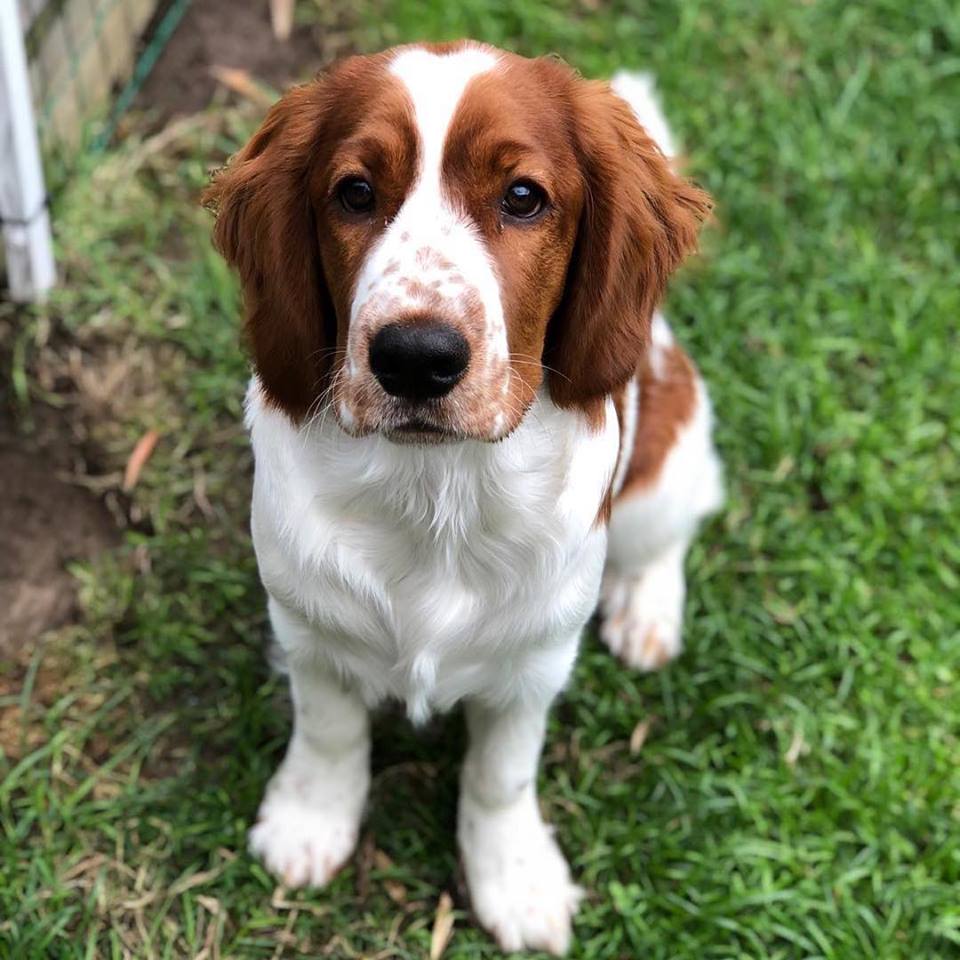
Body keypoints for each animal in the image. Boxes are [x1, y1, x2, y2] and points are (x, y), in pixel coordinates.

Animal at [205, 40, 722, 955]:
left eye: (523, 197)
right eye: (355, 192)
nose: (415, 358)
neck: (437, 488)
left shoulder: (537, 659)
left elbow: (500, 775)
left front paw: (515, 880)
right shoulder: (307, 624)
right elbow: (328, 728)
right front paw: (309, 822)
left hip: (667, 458)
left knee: (674, 527)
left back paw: (648, 614)